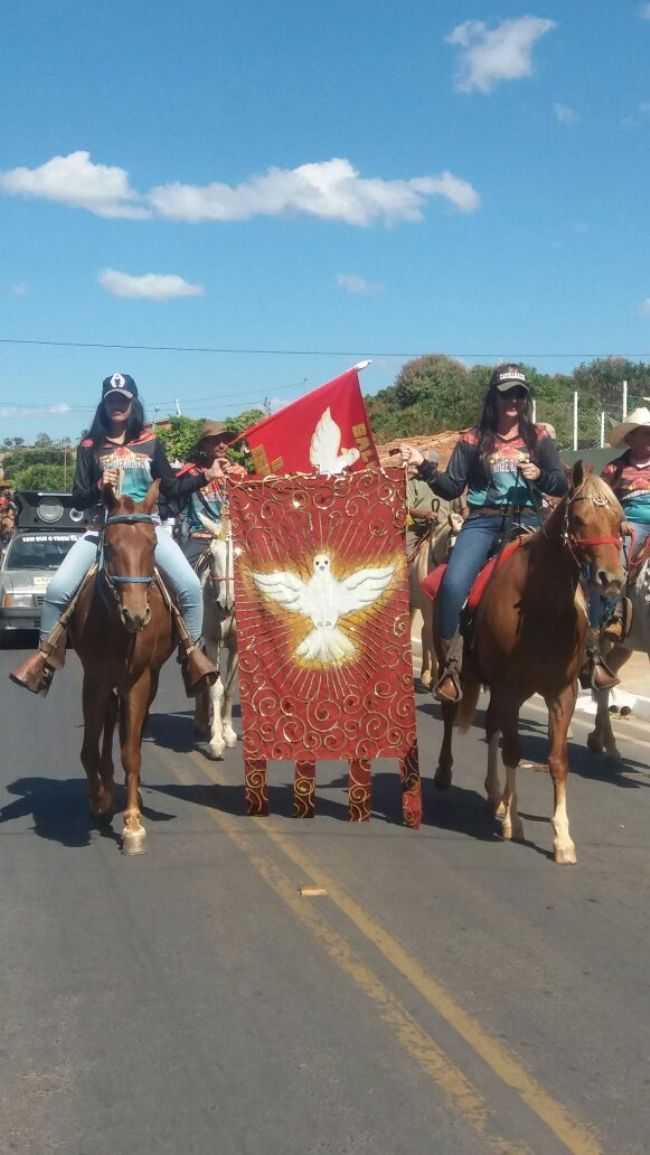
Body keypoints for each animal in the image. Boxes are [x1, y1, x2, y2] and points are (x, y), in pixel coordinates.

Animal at [70, 482, 175, 854]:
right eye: (112, 545)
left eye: (153, 544)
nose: (136, 614)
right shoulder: (94, 678)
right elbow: (90, 746)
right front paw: (98, 801)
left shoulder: (139, 681)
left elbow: (132, 751)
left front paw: (132, 825)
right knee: (108, 721)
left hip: (150, 680)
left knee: (130, 731)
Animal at [434, 464, 623, 863]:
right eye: (579, 520)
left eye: (618, 521)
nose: (611, 579)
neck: (542, 606)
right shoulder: (508, 687)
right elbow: (514, 750)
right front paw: (514, 823)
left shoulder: (561, 692)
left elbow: (557, 760)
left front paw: (562, 838)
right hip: (454, 667)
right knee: (450, 714)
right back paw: (447, 774)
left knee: (492, 727)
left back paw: (496, 796)